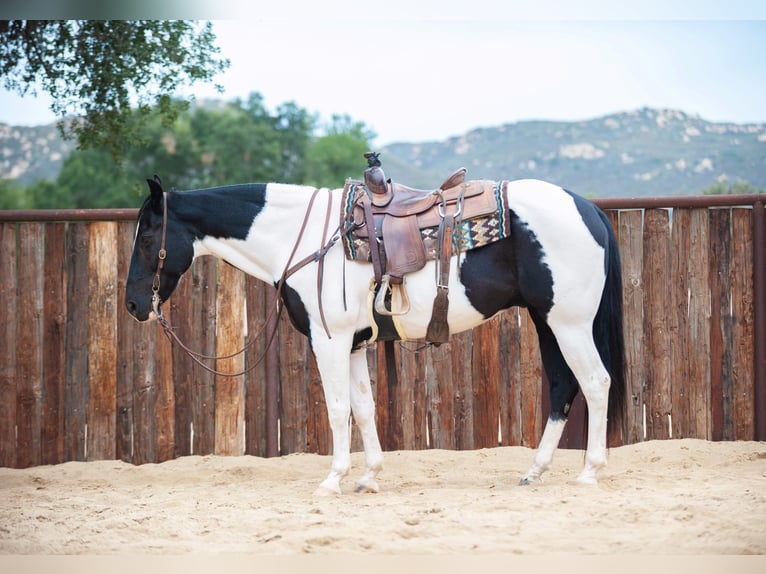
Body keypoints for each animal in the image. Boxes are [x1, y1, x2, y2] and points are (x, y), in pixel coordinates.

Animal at [126, 172, 628, 496]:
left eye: (148, 239)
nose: (133, 305)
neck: (305, 238)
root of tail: (587, 208)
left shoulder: (328, 341)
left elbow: (337, 409)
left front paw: (333, 479)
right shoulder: (351, 345)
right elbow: (364, 409)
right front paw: (369, 477)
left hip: (569, 324)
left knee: (595, 383)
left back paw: (589, 471)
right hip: (548, 321)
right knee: (563, 387)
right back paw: (535, 471)